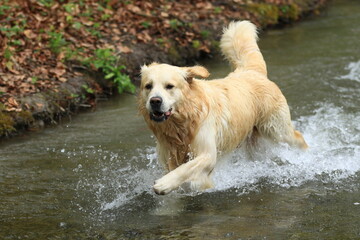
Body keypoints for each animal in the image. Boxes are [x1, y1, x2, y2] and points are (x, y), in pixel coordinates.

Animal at [138, 20, 306, 195]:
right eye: (148, 86)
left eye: (169, 86)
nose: (155, 101)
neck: (183, 122)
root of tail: (252, 71)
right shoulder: (168, 155)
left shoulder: (207, 154)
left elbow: (186, 168)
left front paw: (164, 183)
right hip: (254, 142)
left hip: (276, 130)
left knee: (299, 139)